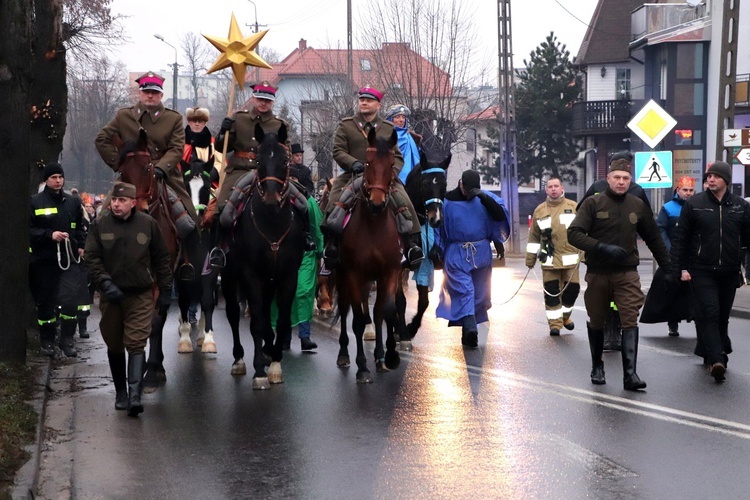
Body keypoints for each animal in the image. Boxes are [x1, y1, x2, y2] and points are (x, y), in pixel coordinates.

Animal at [336, 128, 406, 382]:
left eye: (392, 165)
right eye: (367, 163)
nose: (377, 203)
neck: (374, 225)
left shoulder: (391, 271)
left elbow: (386, 311)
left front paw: (390, 356)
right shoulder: (353, 274)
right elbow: (356, 320)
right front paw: (362, 367)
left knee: (375, 313)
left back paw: (379, 357)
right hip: (342, 276)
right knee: (345, 307)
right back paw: (344, 355)